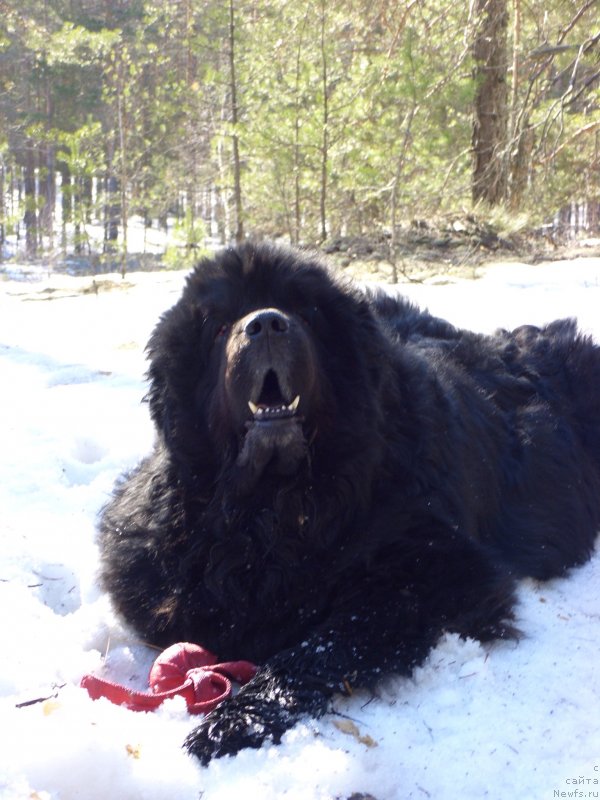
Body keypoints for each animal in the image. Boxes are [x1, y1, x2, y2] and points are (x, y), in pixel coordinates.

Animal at [98, 242, 600, 764]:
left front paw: (234, 720)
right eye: (219, 326)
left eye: (305, 313)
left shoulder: (442, 568)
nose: (267, 323)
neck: (279, 504)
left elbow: (324, 641)